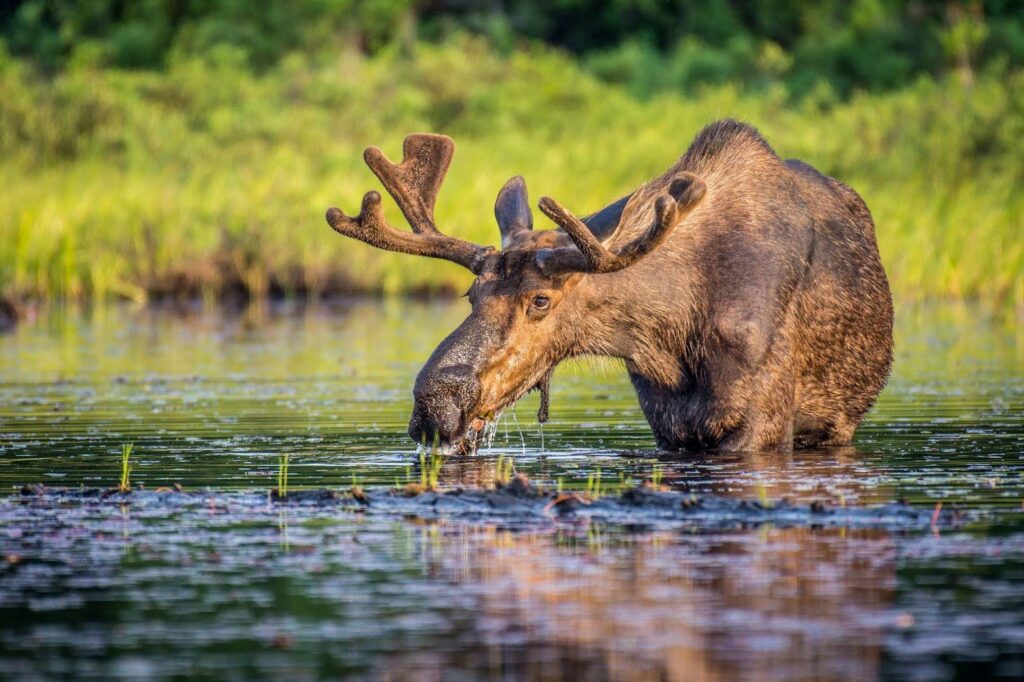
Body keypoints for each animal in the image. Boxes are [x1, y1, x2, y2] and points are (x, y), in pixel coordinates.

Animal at [325, 120, 894, 454]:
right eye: (472, 296)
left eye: (541, 300)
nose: (434, 404)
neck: (673, 332)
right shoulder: (667, 423)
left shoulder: (762, 423)